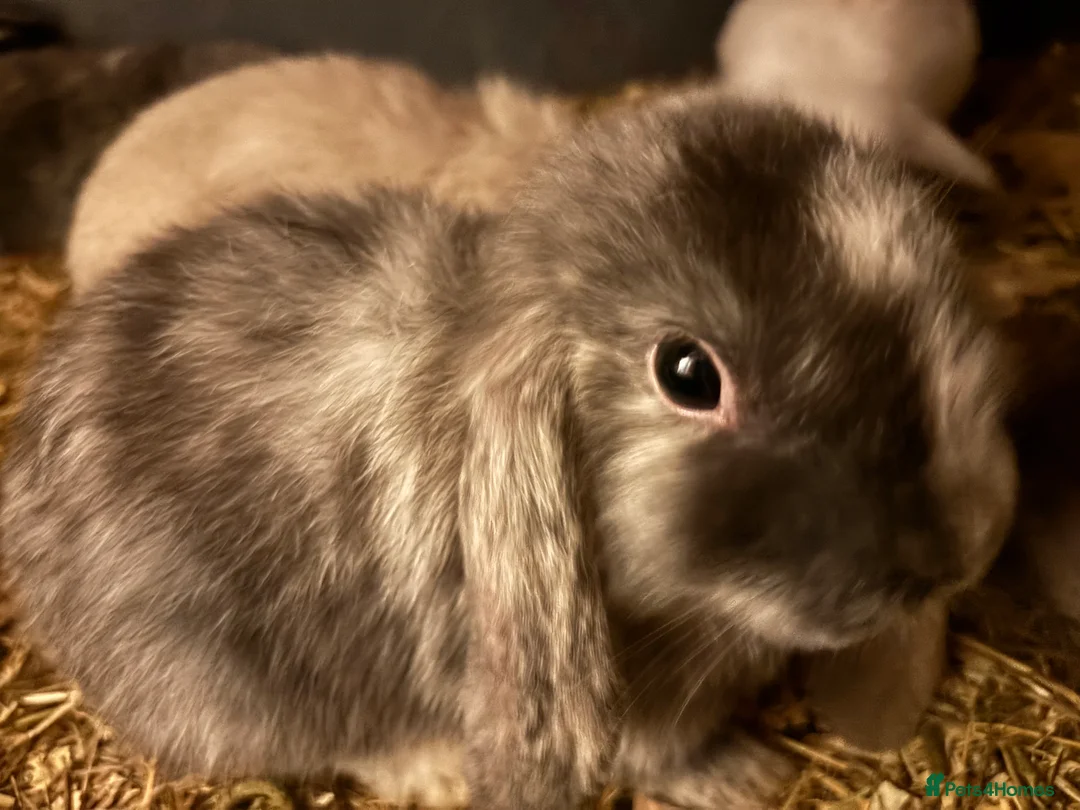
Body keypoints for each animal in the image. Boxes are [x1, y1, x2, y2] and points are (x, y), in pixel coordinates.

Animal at [0, 88, 1019, 809]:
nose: (963, 550)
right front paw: (744, 779)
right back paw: (436, 771)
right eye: (688, 375)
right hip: (227, 679)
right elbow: (656, 748)